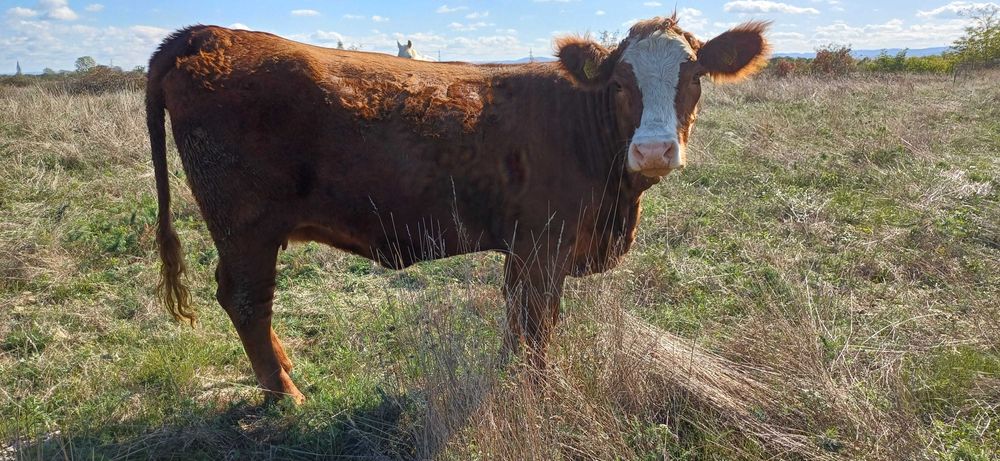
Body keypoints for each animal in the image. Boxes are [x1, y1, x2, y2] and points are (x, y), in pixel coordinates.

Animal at [147, 15, 770, 404]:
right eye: (619, 82)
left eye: (695, 77)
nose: (655, 150)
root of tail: (214, 35)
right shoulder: (543, 246)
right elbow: (539, 322)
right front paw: (536, 391)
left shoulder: (525, 250)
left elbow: (520, 320)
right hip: (245, 227)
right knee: (246, 300)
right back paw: (287, 394)